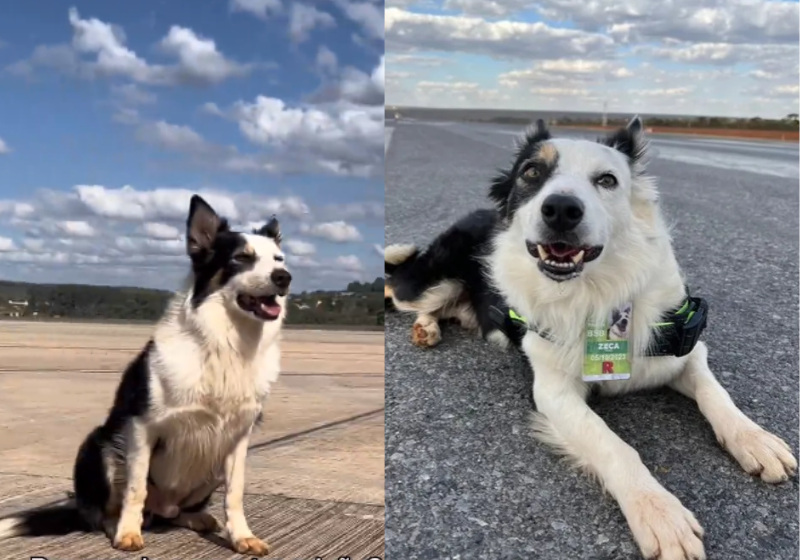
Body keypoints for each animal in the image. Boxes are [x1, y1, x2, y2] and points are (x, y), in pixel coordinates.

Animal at [0, 194, 292, 556]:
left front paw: (241, 536)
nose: (284, 277)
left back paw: (196, 517)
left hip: (208, 463)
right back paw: (116, 523)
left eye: (278, 258)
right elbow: (135, 488)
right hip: (99, 445)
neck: (227, 344)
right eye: (242, 258)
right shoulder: (142, 426)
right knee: (102, 512)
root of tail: (162, 508)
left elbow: (235, 493)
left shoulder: (238, 437)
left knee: (176, 514)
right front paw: (127, 532)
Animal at [384, 118, 796, 560]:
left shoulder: (684, 345)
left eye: (607, 180)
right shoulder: (552, 391)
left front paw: (755, 439)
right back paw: (421, 321)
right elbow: (614, 444)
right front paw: (659, 512)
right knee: (397, 286)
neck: (597, 294)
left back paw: (429, 327)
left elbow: (716, 394)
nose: (561, 209)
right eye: (532, 172)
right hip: (428, 284)